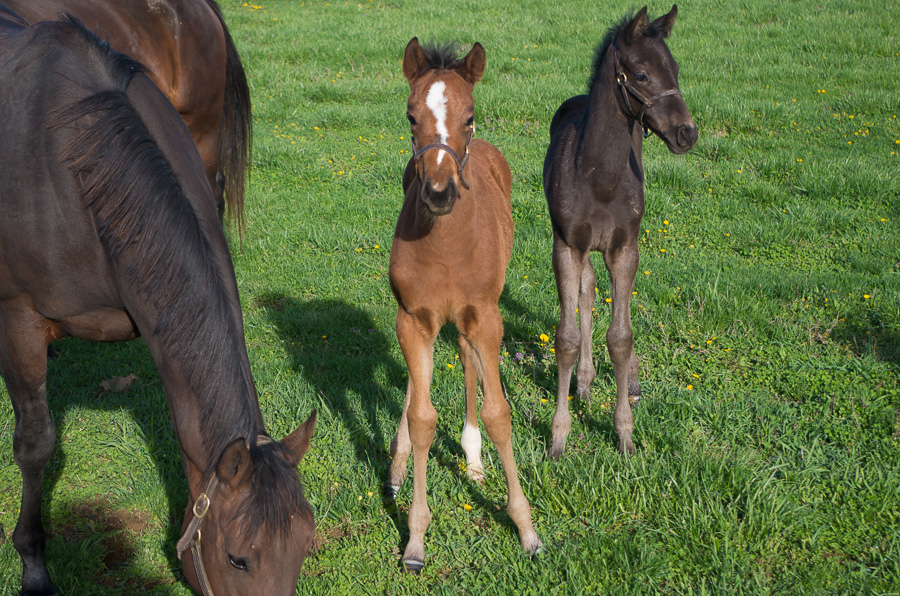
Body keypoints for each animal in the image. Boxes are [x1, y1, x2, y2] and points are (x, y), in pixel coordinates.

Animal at [386, 37, 540, 572]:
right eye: (411, 115)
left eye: (469, 116)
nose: (438, 192)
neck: (447, 247)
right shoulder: (412, 320)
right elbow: (422, 416)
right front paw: (415, 537)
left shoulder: (487, 319)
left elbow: (498, 413)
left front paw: (527, 529)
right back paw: (398, 463)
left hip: (475, 318)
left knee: (469, 363)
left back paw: (472, 458)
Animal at [540, 5, 696, 456]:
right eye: (641, 74)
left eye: (675, 69)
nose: (688, 133)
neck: (599, 178)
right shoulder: (566, 245)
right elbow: (568, 337)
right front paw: (558, 436)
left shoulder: (626, 248)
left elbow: (621, 337)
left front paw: (625, 433)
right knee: (588, 292)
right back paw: (585, 382)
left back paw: (630, 383)